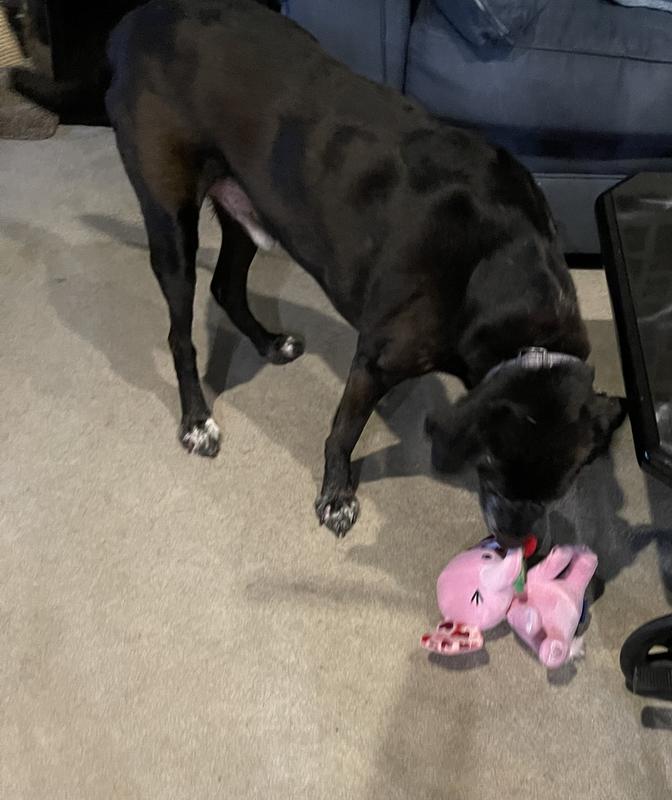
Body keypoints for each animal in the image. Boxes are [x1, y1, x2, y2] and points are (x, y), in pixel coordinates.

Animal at [67, 0, 623, 544]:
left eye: (562, 487)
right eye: (491, 469)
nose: (515, 545)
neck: (498, 270)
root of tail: (134, 22)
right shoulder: (376, 360)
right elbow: (343, 431)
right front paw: (336, 497)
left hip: (247, 205)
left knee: (226, 286)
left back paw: (269, 343)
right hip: (171, 221)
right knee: (180, 334)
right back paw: (197, 422)